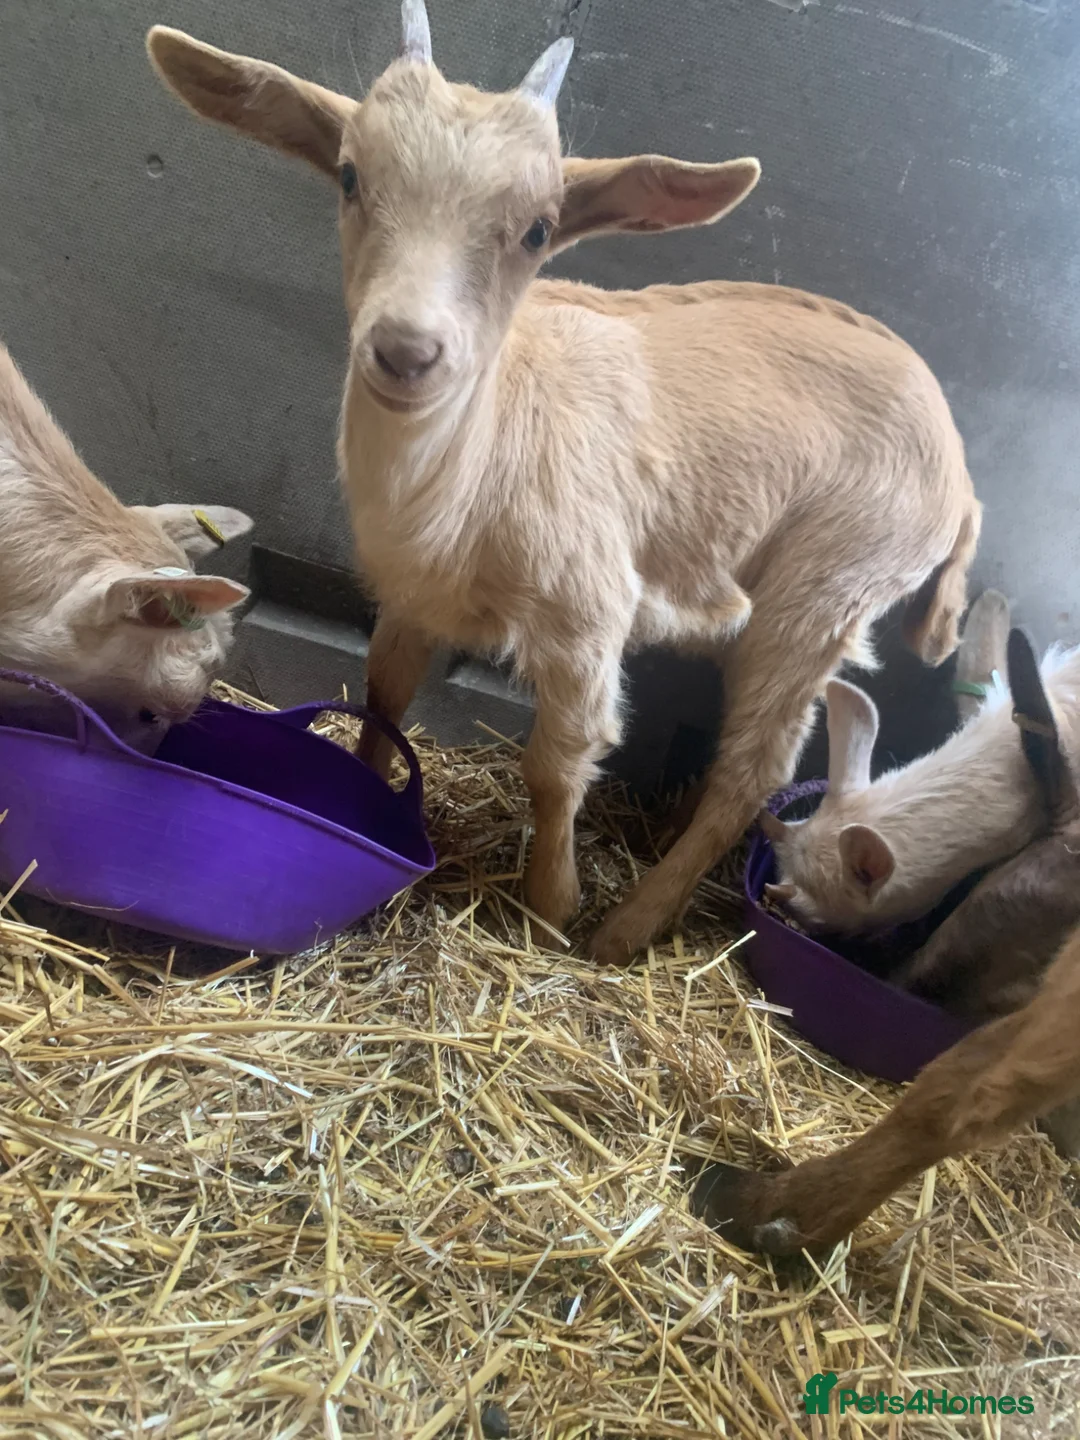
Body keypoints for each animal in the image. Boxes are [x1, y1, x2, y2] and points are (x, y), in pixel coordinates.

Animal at [146, 1, 981, 963]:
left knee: (756, 768)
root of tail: (962, 474)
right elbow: (384, 696)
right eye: (352, 177)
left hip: (830, 587)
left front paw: (552, 904)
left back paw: (628, 928)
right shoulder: (412, 595)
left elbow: (554, 763)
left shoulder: (589, 613)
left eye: (540, 228)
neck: (471, 471)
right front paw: (361, 794)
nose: (406, 350)